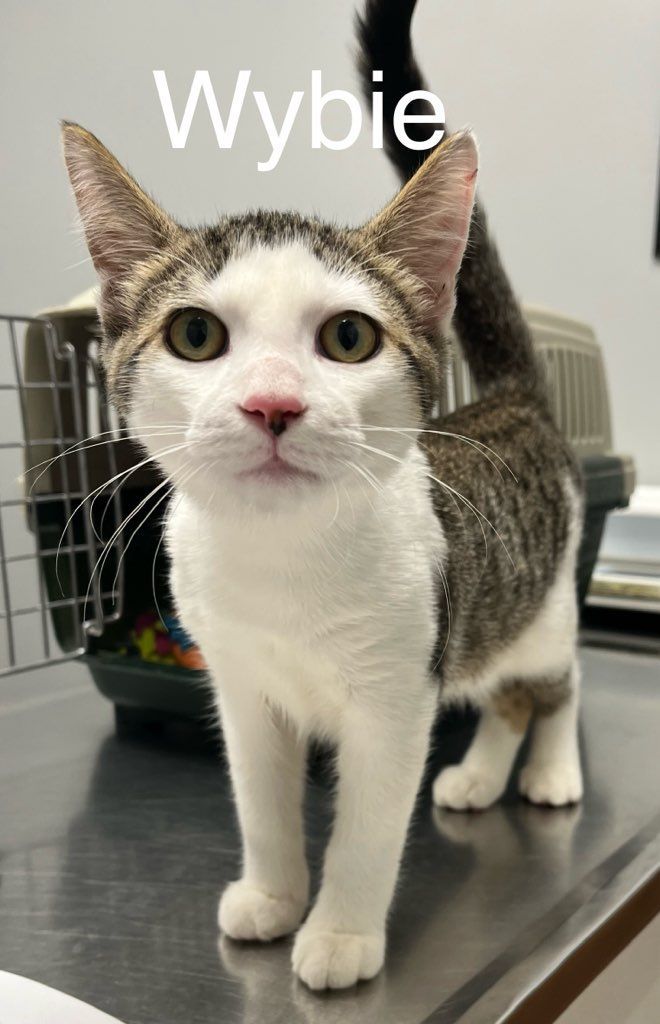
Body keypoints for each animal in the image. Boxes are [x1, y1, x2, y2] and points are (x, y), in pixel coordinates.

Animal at [61, 0, 581, 991]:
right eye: (195, 335)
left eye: (348, 338)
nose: (273, 403)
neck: (282, 562)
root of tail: (513, 399)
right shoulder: (240, 688)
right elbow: (262, 803)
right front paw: (272, 894)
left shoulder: (397, 696)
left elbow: (368, 831)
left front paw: (340, 932)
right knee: (502, 690)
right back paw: (480, 775)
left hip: (542, 597)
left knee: (555, 680)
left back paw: (551, 770)